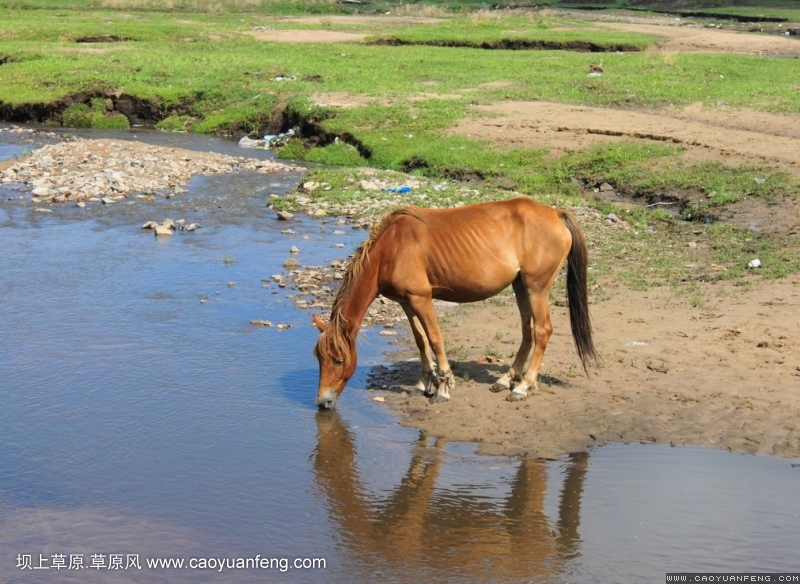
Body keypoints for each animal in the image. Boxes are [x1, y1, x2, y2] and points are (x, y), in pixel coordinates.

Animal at [310, 195, 592, 406]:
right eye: (319, 359)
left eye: (338, 360)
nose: (323, 402)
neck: (392, 249)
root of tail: (555, 213)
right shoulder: (405, 302)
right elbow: (420, 340)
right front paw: (424, 382)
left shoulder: (421, 298)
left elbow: (435, 339)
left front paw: (444, 386)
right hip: (521, 285)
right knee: (528, 331)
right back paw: (506, 380)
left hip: (536, 287)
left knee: (543, 330)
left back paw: (523, 386)